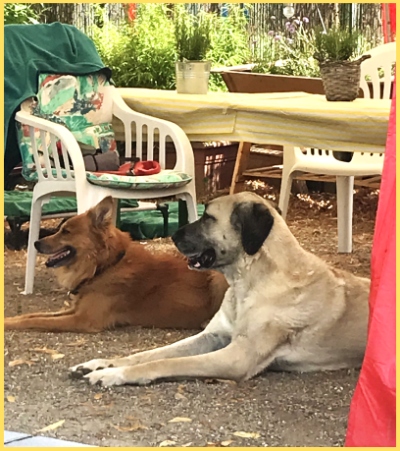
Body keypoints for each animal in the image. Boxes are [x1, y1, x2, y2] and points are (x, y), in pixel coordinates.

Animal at [4, 197, 228, 333]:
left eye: (66, 231)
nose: (35, 243)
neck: (105, 266)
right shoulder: (75, 310)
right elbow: (32, 314)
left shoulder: (83, 319)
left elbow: (35, 320)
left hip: (217, 277)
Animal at [69, 191, 370, 387]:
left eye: (208, 218)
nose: (172, 235)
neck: (246, 283)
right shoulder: (211, 336)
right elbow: (149, 354)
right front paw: (101, 363)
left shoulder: (238, 357)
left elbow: (166, 362)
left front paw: (112, 375)